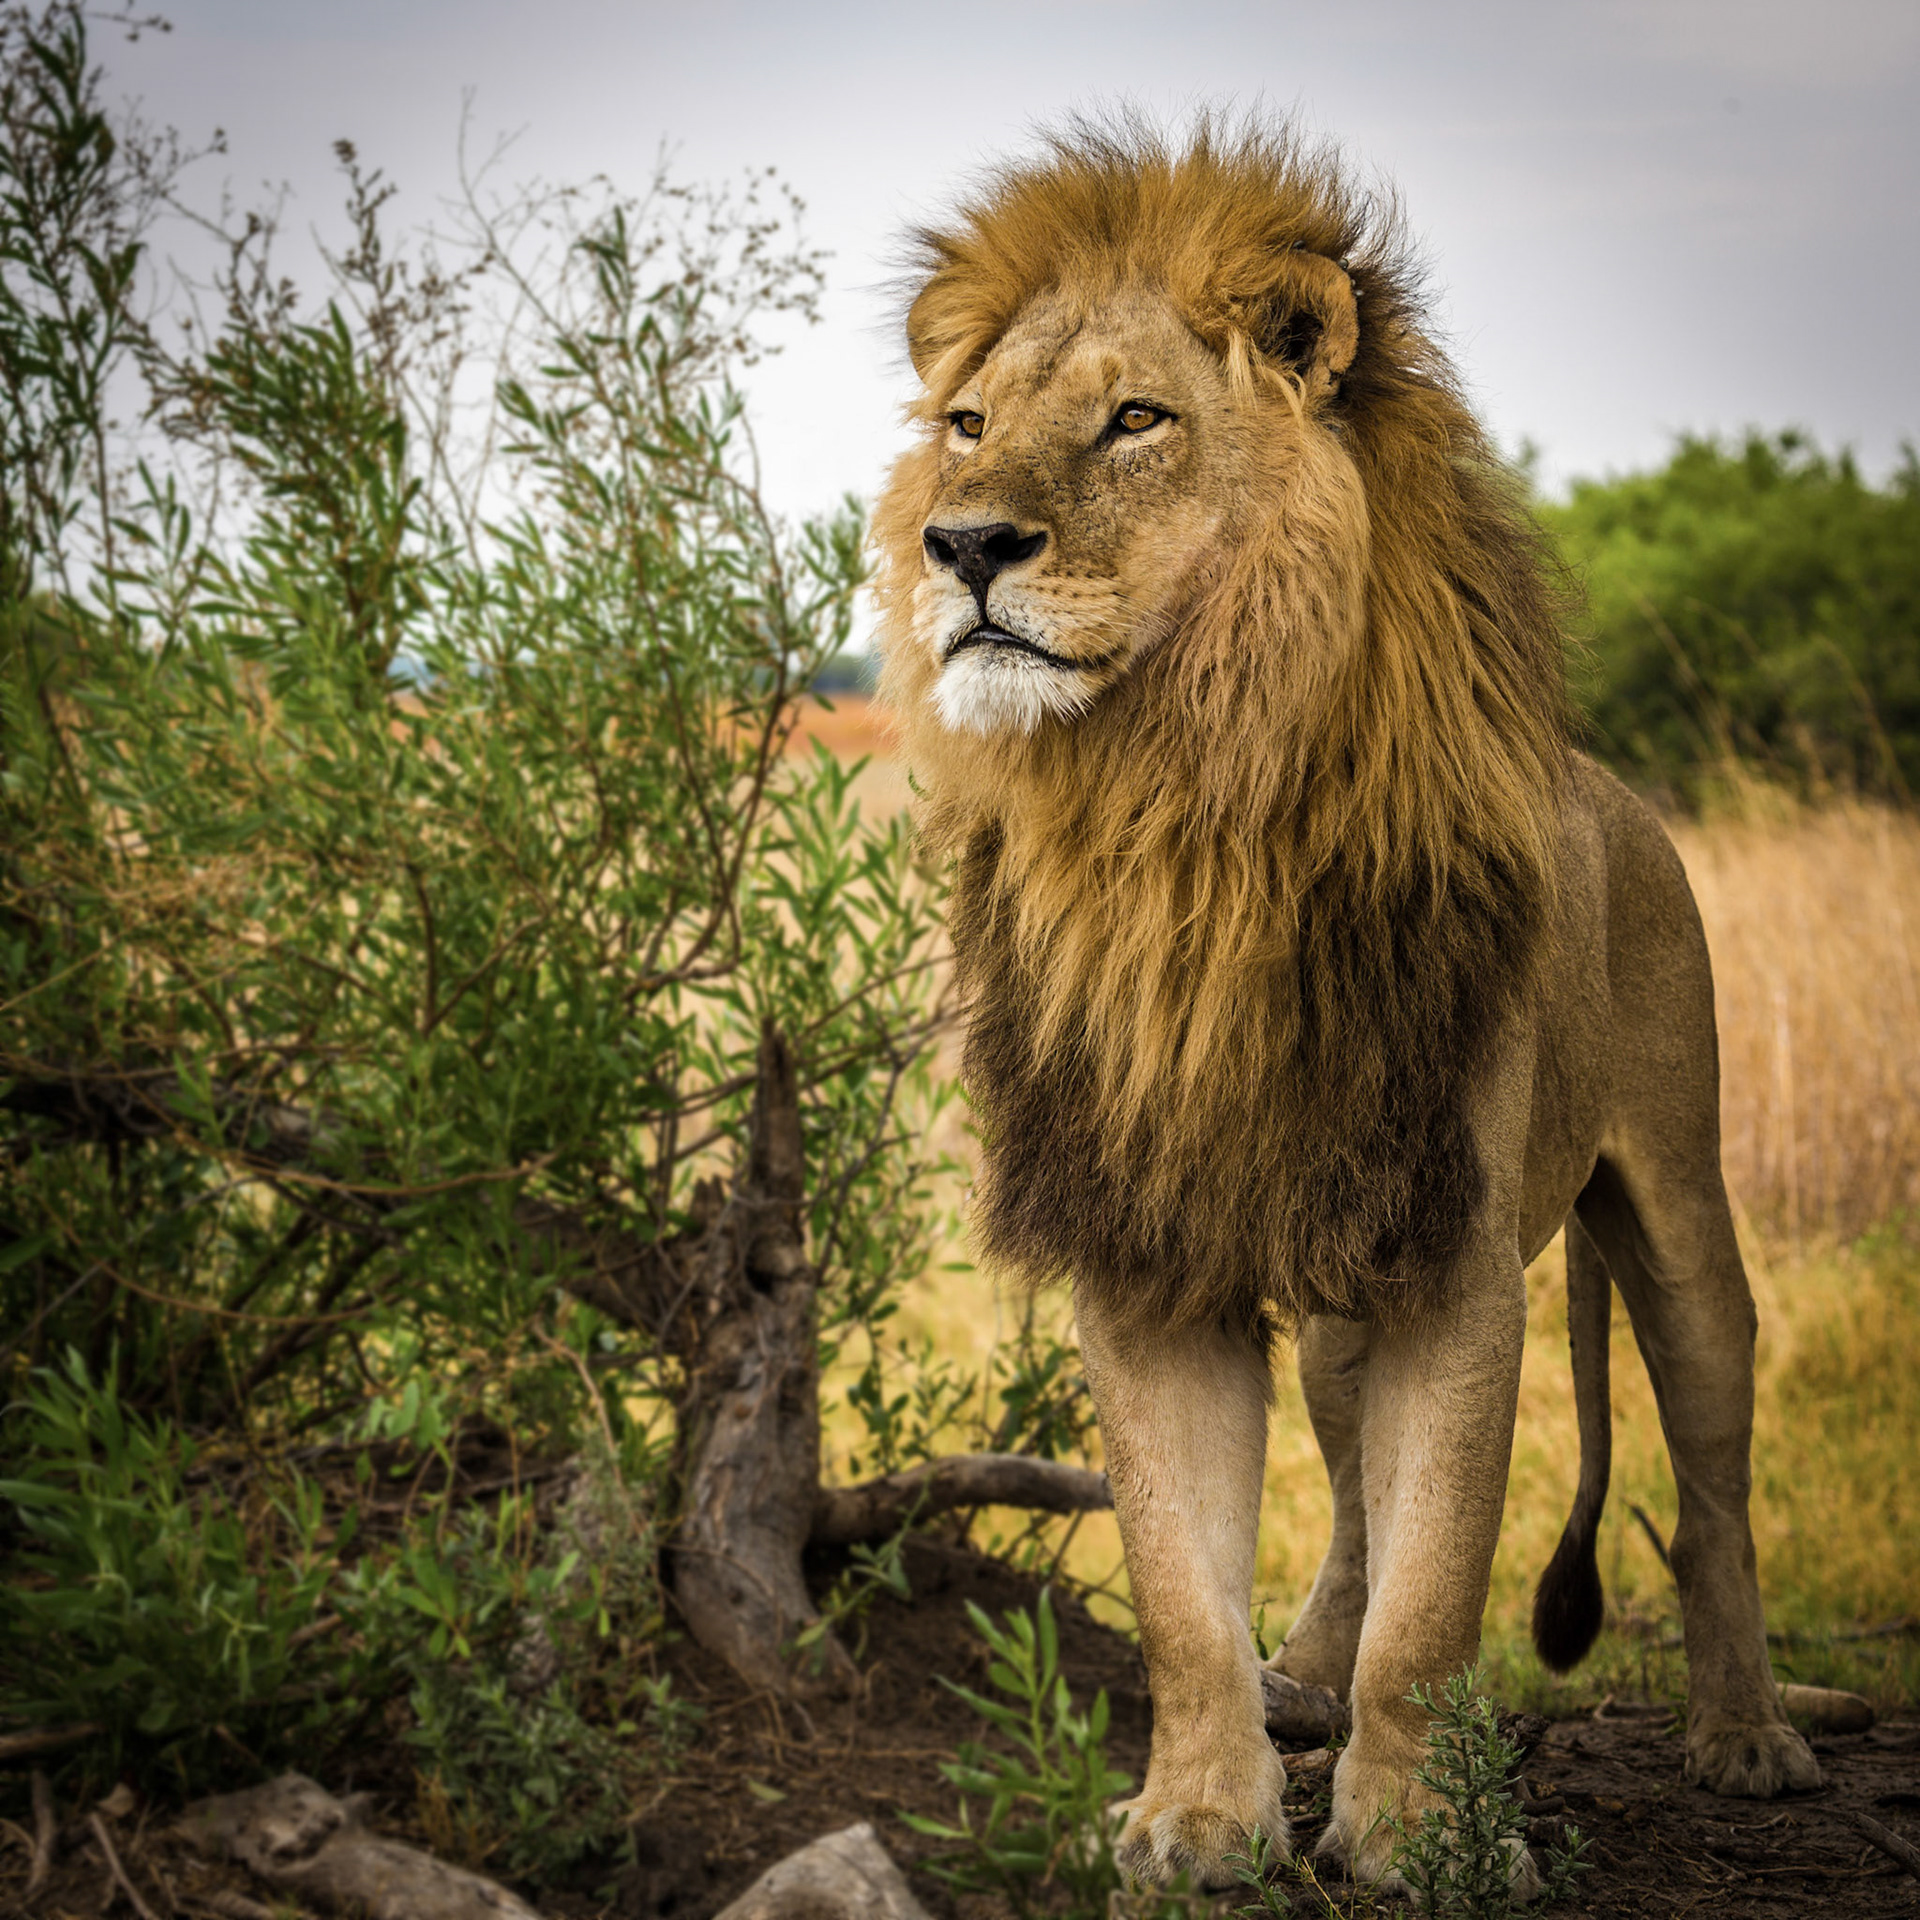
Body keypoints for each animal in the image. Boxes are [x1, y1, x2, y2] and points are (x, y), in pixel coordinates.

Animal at [871, 118, 1821, 1890]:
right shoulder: (1151, 1251)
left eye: (1135, 419)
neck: (1178, 814)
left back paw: (1746, 1739)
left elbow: (1442, 1592)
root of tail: (1622, 794)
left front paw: (1423, 1839)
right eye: (968, 428)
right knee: (1356, 1494)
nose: (959, 546)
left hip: (1676, 1202)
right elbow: (1183, 1590)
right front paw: (1196, 1820)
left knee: (1714, 1483)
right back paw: (1304, 1675)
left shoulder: (1459, 1268)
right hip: (1334, 1288)